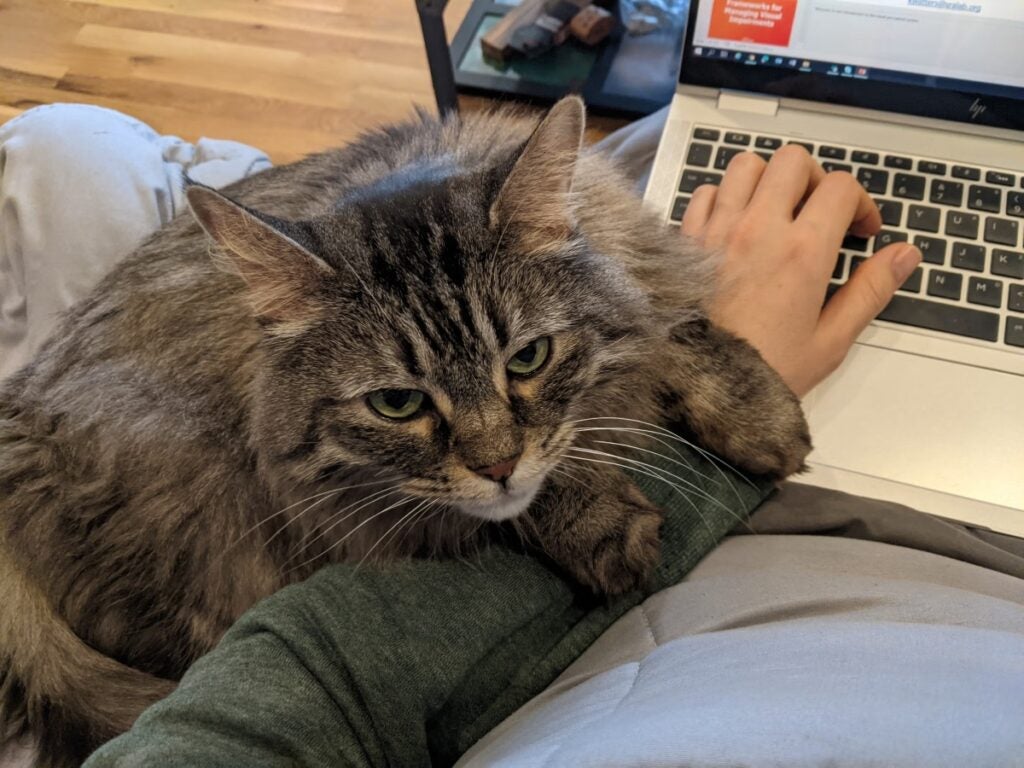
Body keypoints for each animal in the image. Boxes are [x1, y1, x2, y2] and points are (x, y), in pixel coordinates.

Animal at [2, 94, 806, 765]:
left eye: (528, 358)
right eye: (397, 404)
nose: (497, 465)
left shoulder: (636, 269)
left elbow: (671, 325)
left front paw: (756, 408)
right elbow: (530, 485)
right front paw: (597, 521)